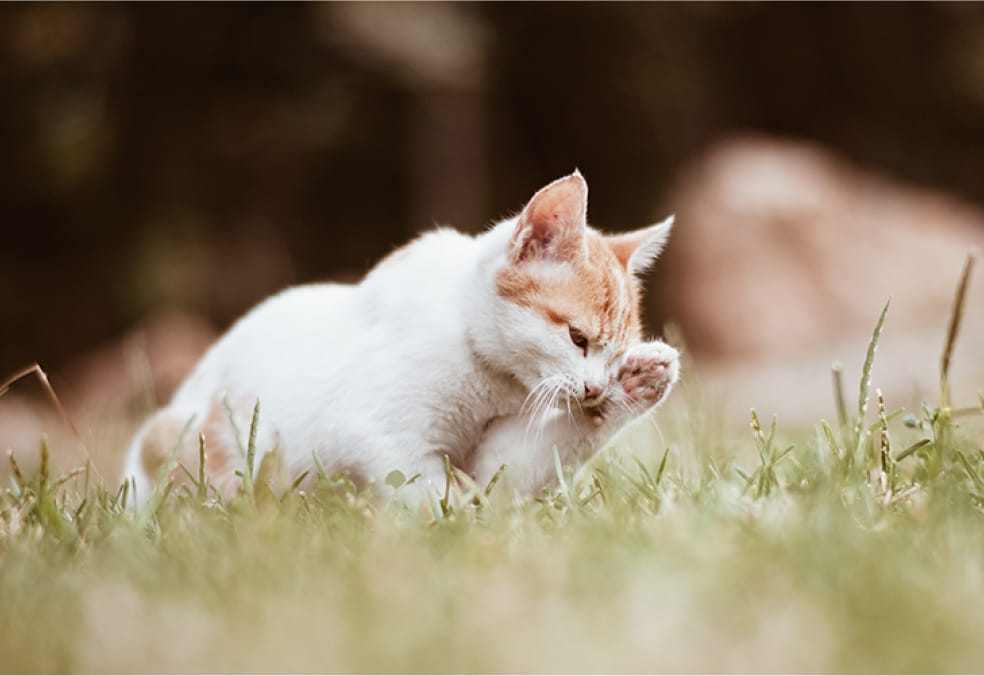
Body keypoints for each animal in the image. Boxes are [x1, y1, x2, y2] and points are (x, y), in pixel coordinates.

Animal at [121, 172, 676, 504]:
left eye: (614, 356)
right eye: (577, 338)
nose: (595, 388)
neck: (488, 376)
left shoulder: (498, 461)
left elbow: (515, 473)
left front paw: (636, 387)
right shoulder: (373, 432)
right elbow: (428, 491)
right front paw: (456, 525)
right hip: (189, 441)